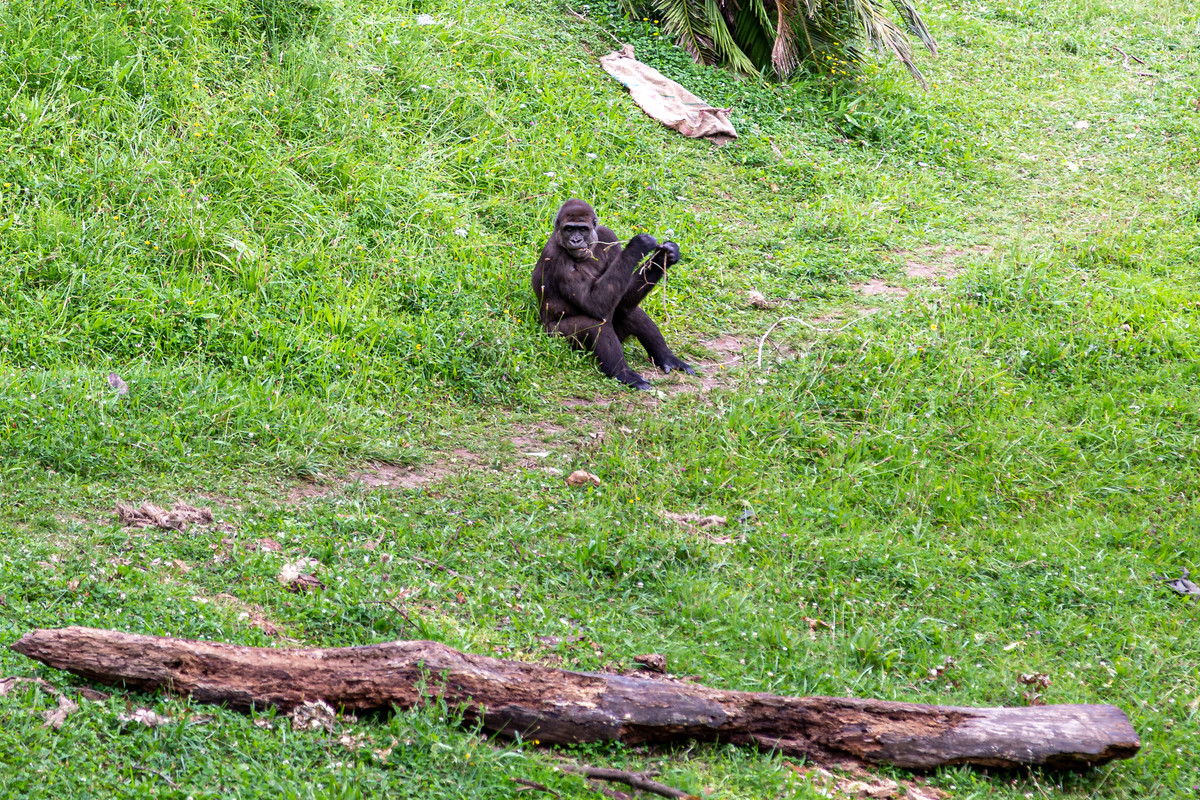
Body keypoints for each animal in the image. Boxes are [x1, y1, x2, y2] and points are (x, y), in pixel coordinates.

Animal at [532, 196, 696, 391]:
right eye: (569, 229)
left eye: (582, 229)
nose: (576, 240)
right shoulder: (557, 258)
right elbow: (594, 304)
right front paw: (638, 246)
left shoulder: (608, 235)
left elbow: (622, 297)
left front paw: (664, 256)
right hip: (556, 339)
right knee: (594, 324)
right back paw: (623, 373)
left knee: (630, 311)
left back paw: (666, 357)